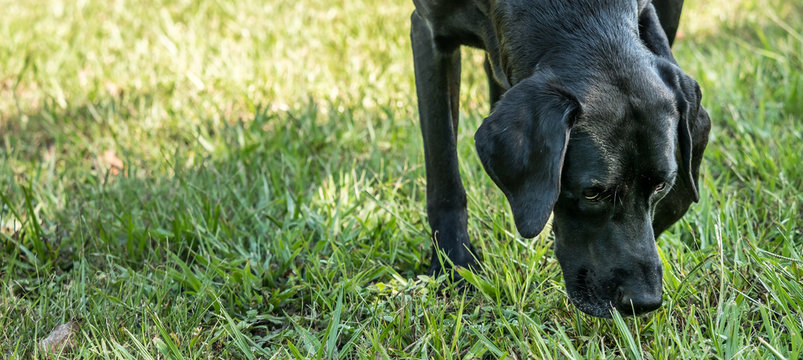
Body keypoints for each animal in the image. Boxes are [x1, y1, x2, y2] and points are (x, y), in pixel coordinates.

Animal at [414, 0, 708, 316]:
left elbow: (689, 165)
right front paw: (453, 266)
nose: (644, 302)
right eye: (592, 193)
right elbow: (443, 169)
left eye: (660, 186)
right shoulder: (428, 35)